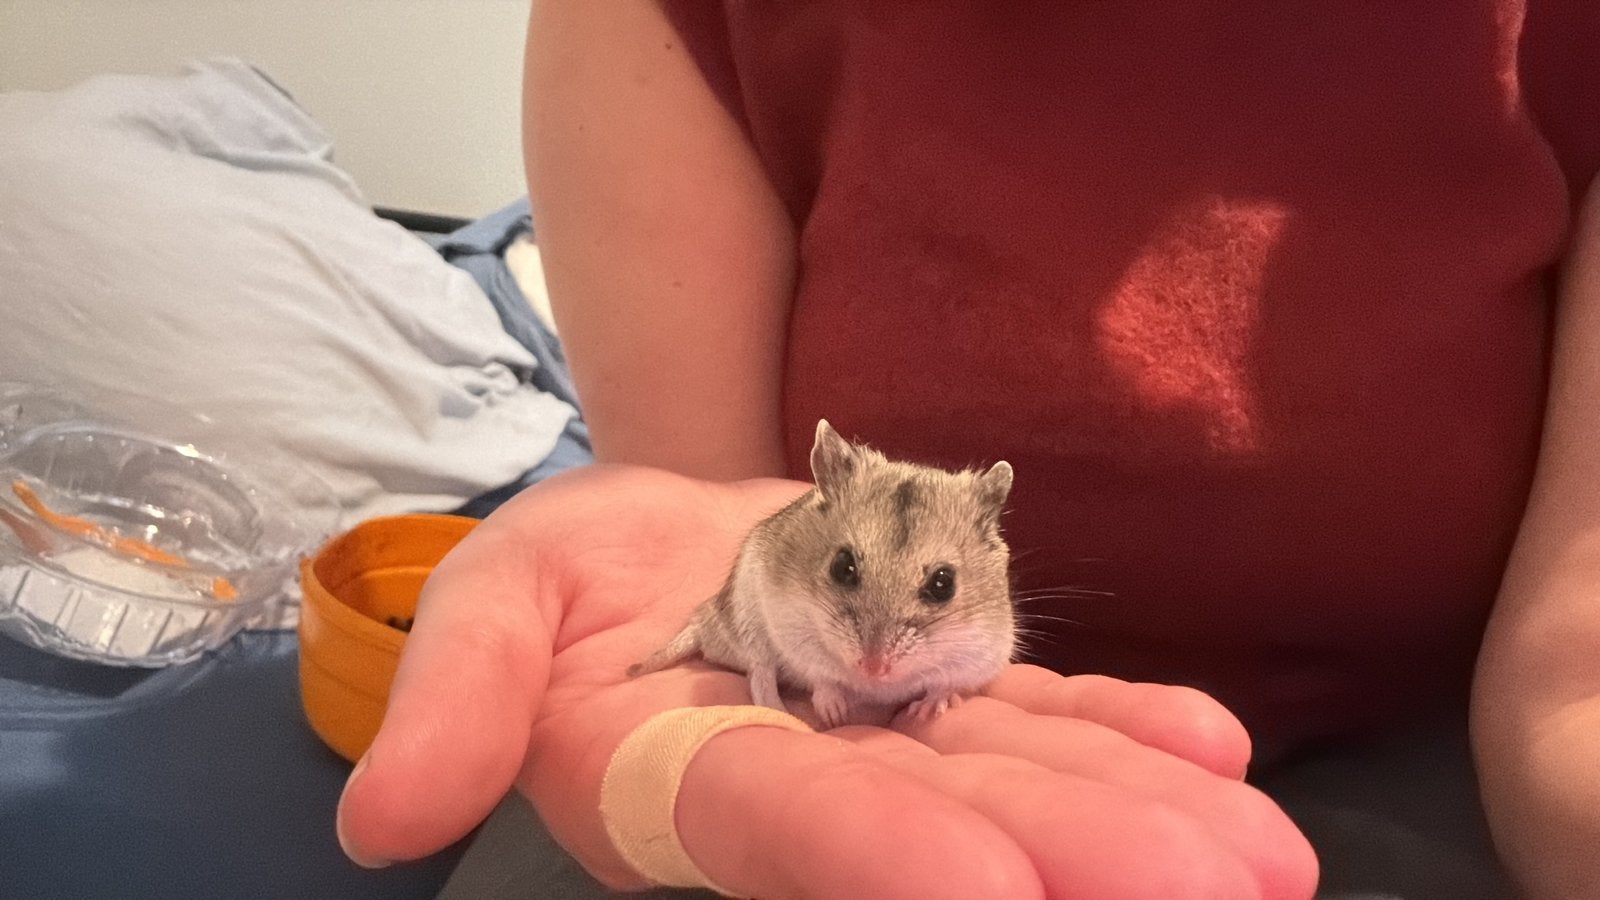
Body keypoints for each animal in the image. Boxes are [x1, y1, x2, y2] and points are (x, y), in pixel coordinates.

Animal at [628, 419, 1016, 729]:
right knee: (760, 672)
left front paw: (929, 708)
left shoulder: (982, 653)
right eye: (842, 567)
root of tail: (707, 623)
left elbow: (945, 683)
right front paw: (834, 712)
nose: (873, 669)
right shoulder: (794, 632)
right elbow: (821, 677)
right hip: (748, 617)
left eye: (943, 583)